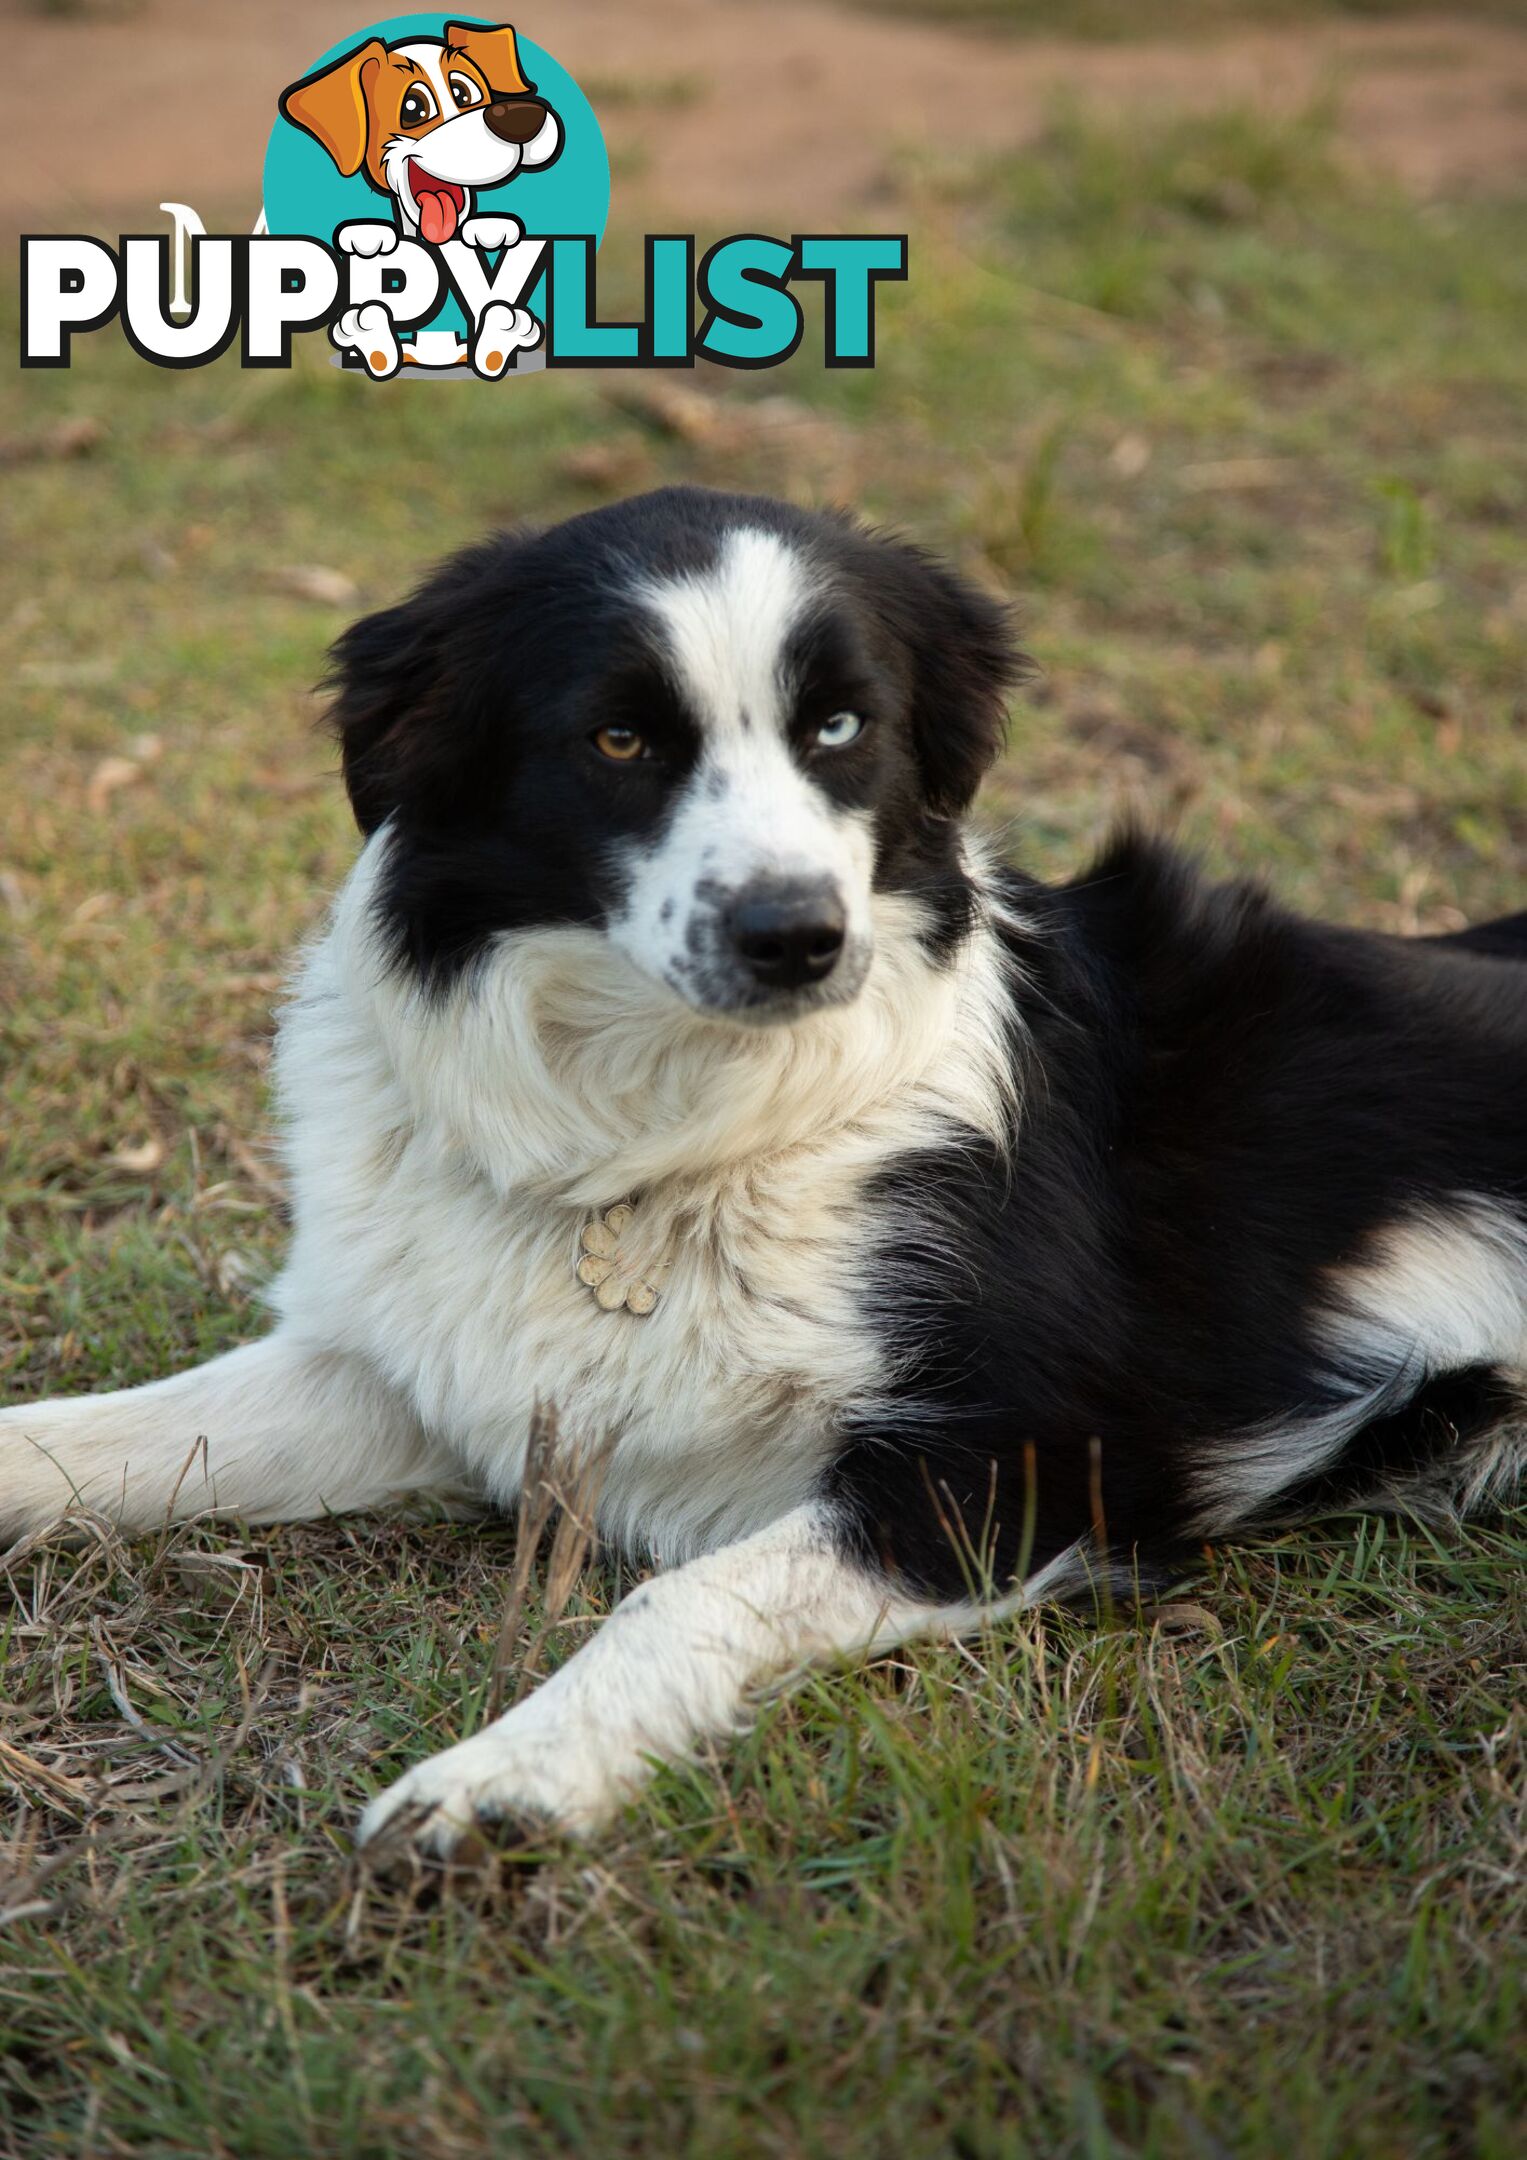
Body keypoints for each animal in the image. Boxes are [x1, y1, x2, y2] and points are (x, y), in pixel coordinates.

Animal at [2, 490, 1527, 1857]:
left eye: (840, 727)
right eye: (619, 737)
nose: (794, 935)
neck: (665, 1134)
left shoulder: (1021, 1459)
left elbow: (673, 1599)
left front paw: (507, 1777)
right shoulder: (415, 1373)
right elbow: (80, 1435)